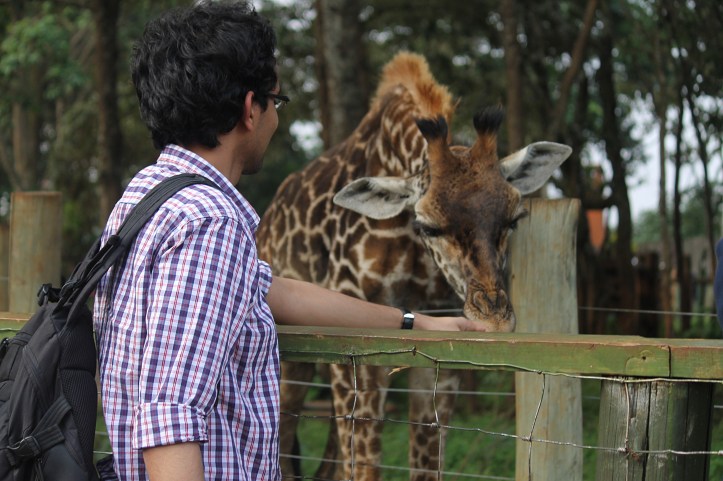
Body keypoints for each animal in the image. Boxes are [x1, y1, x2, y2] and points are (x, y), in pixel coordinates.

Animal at [256, 52, 571, 481]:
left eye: (514, 219)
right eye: (428, 225)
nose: (495, 321)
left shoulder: (440, 355)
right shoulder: (358, 351)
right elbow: (365, 468)